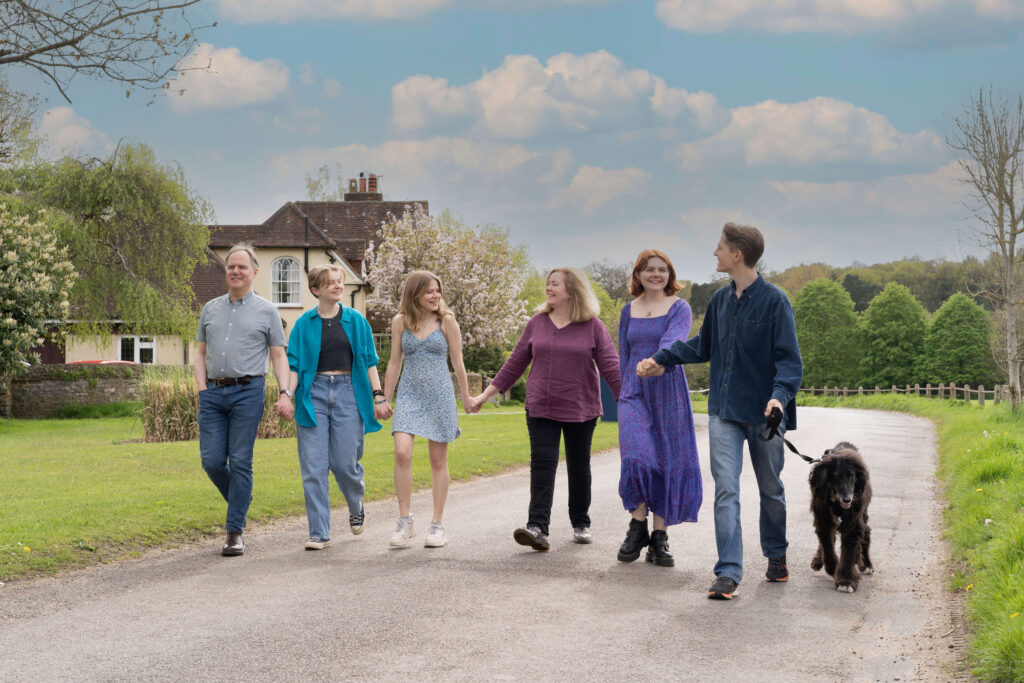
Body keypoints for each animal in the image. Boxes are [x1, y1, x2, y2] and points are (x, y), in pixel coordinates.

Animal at [806, 444, 872, 593]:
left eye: (852, 475)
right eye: (835, 476)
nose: (847, 499)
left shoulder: (853, 520)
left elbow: (849, 548)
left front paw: (845, 581)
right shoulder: (823, 516)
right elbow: (827, 543)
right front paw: (832, 568)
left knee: (866, 533)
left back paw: (867, 564)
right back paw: (818, 560)